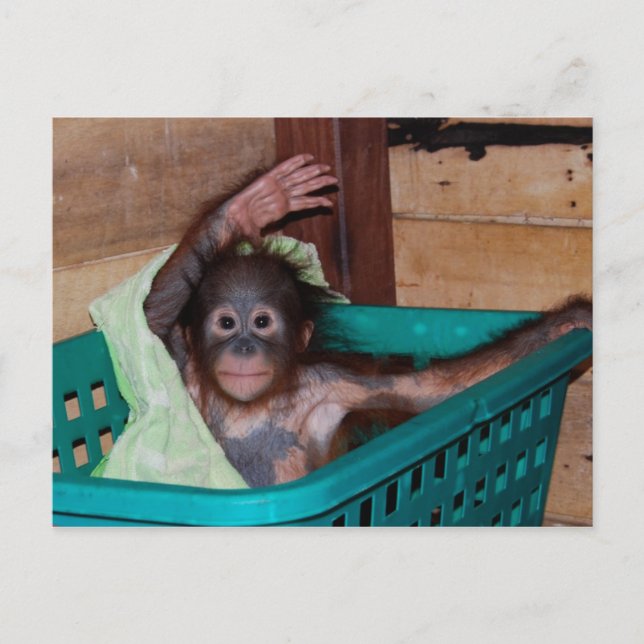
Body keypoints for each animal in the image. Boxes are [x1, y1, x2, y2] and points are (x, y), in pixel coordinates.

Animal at [143, 153, 592, 488]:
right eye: (226, 324)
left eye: (262, 322)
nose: (243, 346)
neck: (250, 404)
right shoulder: (183, 362)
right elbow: (151, 316)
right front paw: (250, 204)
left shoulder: (336, 384)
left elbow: (427, 390)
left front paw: (568, 321)